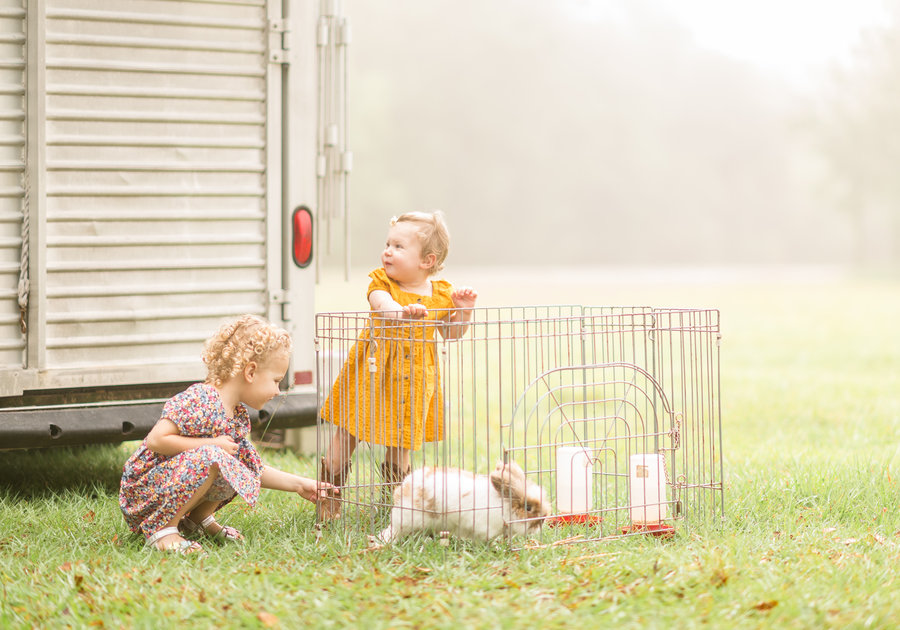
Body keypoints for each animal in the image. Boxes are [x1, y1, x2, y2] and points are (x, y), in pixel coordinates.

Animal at [378, 462, 552, 544]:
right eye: (528, 507)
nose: (543, 518)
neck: (504, 507)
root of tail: (403, 489)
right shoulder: (482, 529)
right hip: (407, 520)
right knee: (392, 531)